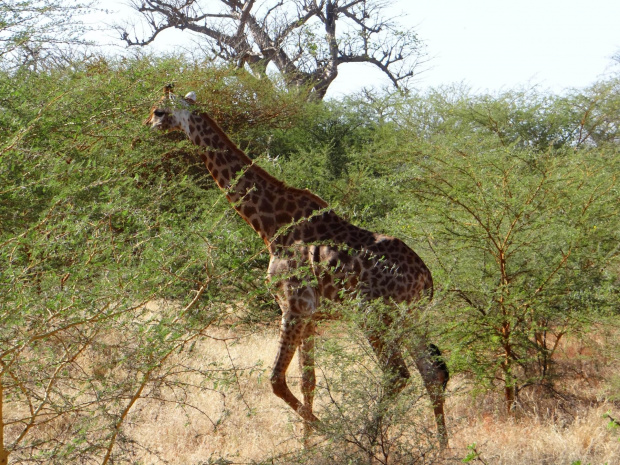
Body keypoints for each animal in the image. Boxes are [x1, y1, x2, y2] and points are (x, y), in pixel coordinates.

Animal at [143, 84, 448, 446]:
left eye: (159, 111)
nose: (147, 125)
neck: (270, 226)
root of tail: (426, 278)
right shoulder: (310, 314)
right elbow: (307, 380)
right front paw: (307, 447)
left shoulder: (292, 306)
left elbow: (276, 380)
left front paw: (329, 435)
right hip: (410, 318)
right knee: (432, 373)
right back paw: (443, 447)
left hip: (374, 316)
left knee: (397, 374)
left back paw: (367, 440)